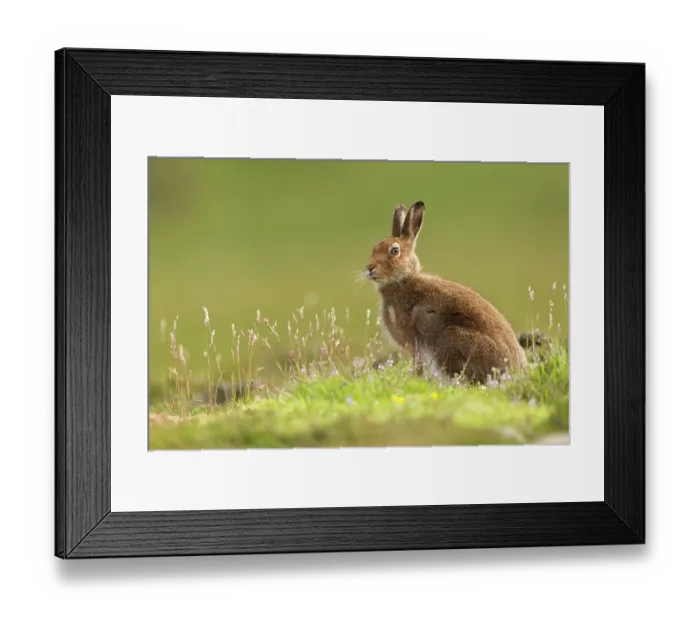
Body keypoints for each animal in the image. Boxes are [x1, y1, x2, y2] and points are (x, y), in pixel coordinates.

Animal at [364, 201, 527, 383]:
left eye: (394, 251)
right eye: (374, 248)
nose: (369, 268)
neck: (403, 280)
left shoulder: (417, 347)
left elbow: (418, 366)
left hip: (449, 342)